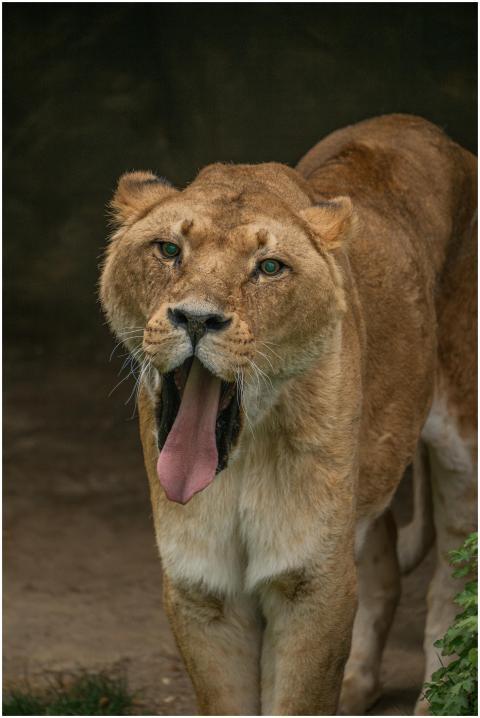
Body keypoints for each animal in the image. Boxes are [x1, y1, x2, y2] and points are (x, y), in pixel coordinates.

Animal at [100, 114, 477, 716]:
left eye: (270, 267)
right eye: (168, 249)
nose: (196, 318)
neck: (243, 456)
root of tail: (427, 128)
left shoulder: (311, 584)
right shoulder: (201, 588)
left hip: (463, 449)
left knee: (452, 577)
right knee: (383, 562)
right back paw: (358, 686)